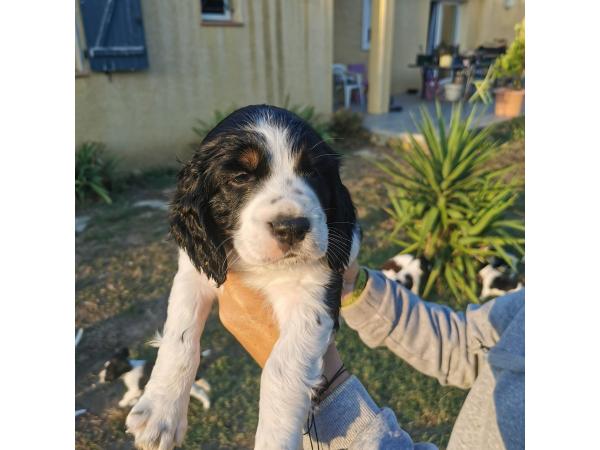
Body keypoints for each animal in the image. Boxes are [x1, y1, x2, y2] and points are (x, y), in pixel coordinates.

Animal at [124, 105, 358, 450]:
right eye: (239, 177)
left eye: (313, 172)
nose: (292, 227)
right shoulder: (194, 272)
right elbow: (179, 337)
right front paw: (159, 412)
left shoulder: (314, 289)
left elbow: (280, 367)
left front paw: (275, 440)